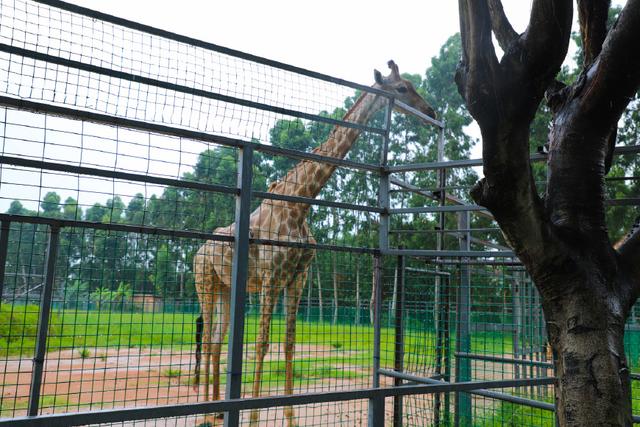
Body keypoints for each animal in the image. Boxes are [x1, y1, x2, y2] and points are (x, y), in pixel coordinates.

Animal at [192, 61, 438, 427]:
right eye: (402, 88)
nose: (430, 111)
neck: (301, 203)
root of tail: (197, 250)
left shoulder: (298, 278)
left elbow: (289, 343)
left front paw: (290, 417)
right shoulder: (271, 277)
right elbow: (262, 343)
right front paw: (253, 417)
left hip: (225, 288)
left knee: (216, 340)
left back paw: (217, 411)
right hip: (205, 282)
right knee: (208, 339)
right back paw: (206, 414)